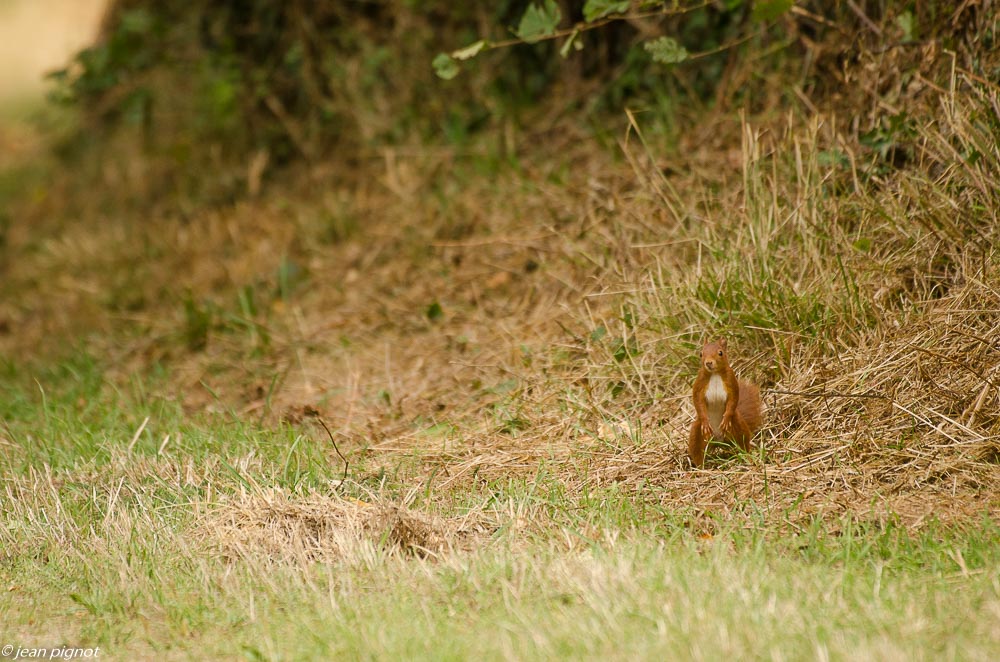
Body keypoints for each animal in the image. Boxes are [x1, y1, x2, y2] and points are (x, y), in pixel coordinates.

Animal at [692, 340, 760, 470]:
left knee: (744, 444)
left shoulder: (731, 382)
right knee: (697, 452)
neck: (714, 374)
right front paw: (705, 422)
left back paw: (748, 458)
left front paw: (726, 418)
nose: (708, 363)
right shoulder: (699, 385)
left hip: (739, 427)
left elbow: (733, 400)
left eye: (720, 353)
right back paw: (700, 469)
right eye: (700, 354)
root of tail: (719, 440)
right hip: (697, 433)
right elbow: (698, 402)